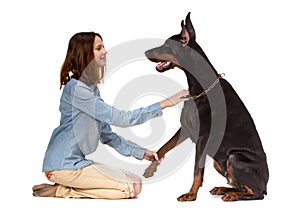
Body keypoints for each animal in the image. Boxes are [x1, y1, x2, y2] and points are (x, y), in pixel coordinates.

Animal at [144, 11, 270, 201]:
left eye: (167, 45)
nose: (145, 51)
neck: (200, 87)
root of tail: (266, 183)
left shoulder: (203, 136)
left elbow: (197, 170)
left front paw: (191, 194)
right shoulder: (186, 128)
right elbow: (164, 146)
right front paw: (151, 167)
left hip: (234, 158)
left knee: (257, 193)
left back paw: (232, 195)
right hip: (219, 162)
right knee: (240, 185)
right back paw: (223, 189)